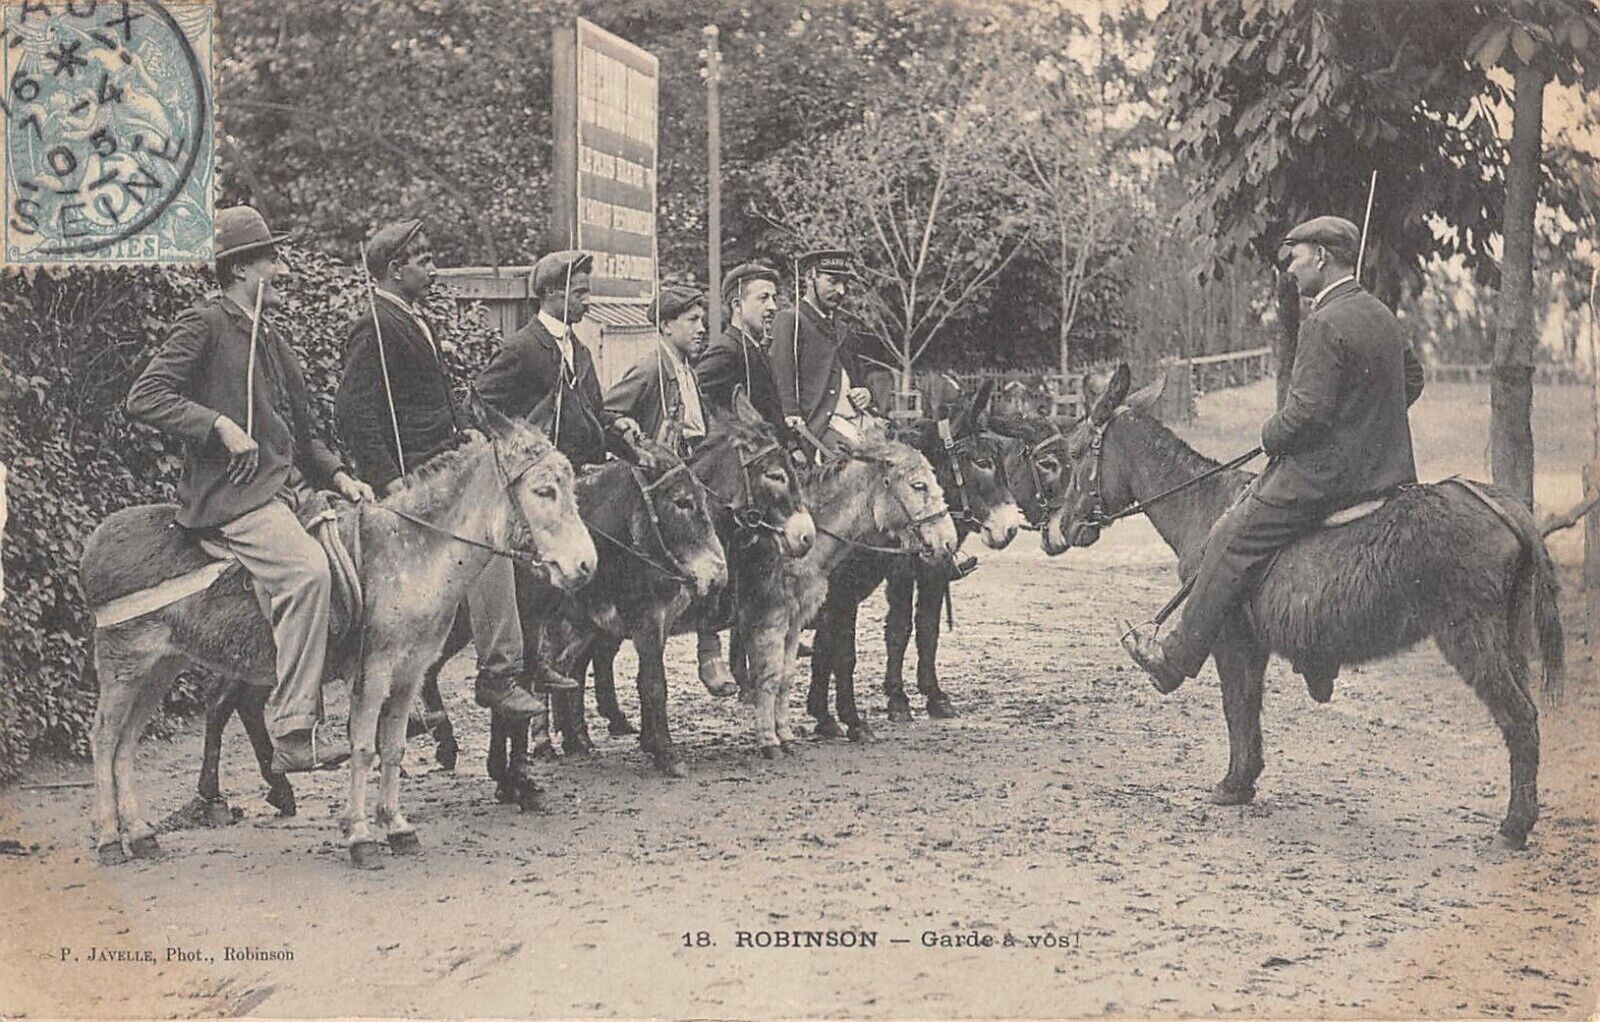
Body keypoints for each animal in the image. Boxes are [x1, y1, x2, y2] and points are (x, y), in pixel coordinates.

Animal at [80, 401, 597, 867]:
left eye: (571, 484)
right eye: (544, 491)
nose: (586, 566)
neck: (413, 551)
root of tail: (97, 538)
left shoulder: (410, 673)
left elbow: (394, 747)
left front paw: (397, 826)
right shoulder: (374, 671)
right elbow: (364, 748)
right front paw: (360, 835)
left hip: (161, 667)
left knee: (127, 742)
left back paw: (142, 834)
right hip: (125, 664)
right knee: (105, 738)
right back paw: (109, 841)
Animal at [805, 381, 1026, 737]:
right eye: (981, 461)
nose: (1009, 529)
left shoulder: (931, 573)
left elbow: (927, 628)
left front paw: (935, 696)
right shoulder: (892, 576)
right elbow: (897, 629)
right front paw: (897, 701)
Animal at [1042, 364, 1565, 849]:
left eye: (1074, 453)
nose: (1056, 532)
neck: (1204, 506)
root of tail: (1501, 505)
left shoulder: (1230, 638)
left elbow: (1236, 706)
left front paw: (1232, 784)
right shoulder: (1251, 645)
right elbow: (1248, 708)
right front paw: (1245, 779)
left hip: (1469, 637)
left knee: (1520, 720)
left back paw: (1513, 828)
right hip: (1508, 637)